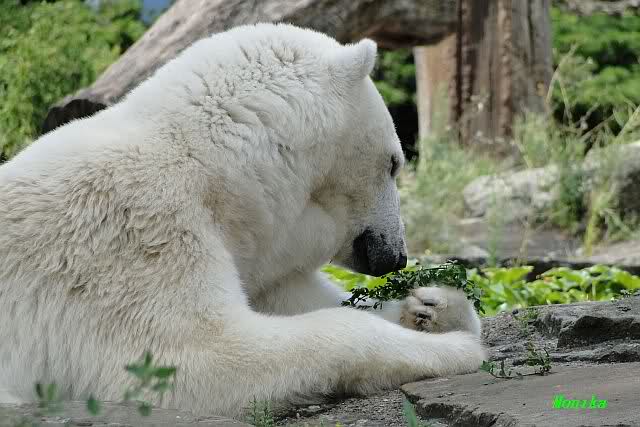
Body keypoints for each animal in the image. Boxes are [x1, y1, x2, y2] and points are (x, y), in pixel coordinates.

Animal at [0, 23, 484, 417]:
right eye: (394, 163)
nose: (395, 257)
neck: (207, 164)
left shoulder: (252, 247)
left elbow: (295, 296)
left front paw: (431, 307)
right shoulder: (132, 233)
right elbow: (193, 359)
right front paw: (457, 349)